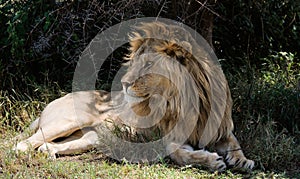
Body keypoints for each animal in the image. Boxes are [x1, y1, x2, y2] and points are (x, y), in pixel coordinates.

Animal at [14, 21, 253, 171]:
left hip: (89, 138)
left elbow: (235, 143)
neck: (184, 102)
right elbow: (179, 153)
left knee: (47, 145)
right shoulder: (167, 137)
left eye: (148, 65)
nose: (124, 83)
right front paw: (211, 161)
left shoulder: (220, 128)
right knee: (23, 144)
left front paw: (242, 161)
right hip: (69, 120)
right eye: (135, 62)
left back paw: (49, 154)